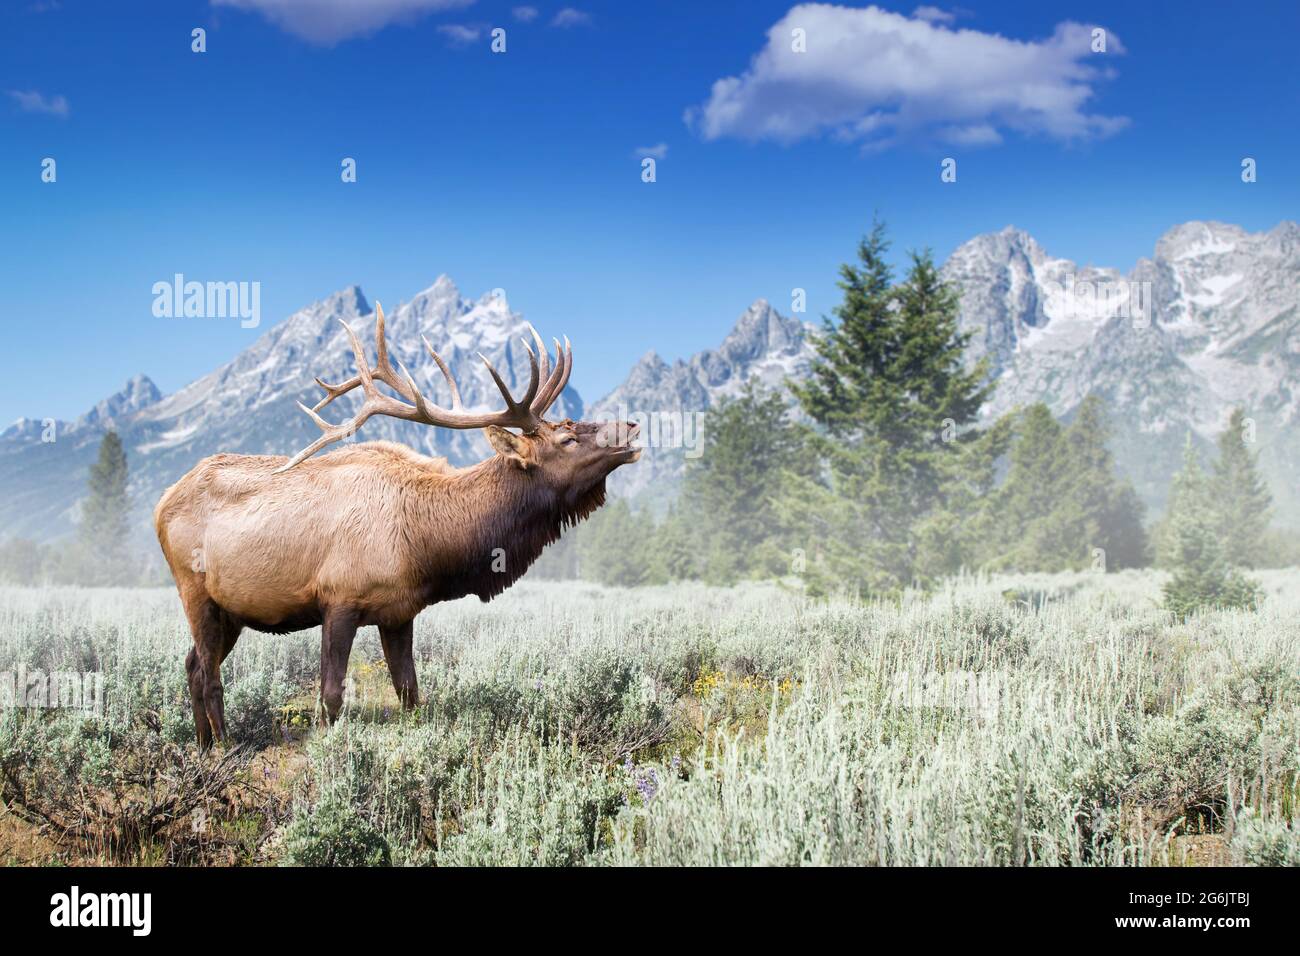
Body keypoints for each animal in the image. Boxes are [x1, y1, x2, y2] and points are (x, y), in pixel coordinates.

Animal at [154, 304, 641, 747]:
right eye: (567, 437)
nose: (632, 427)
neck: (426, 543)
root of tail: (160, 506)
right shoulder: (338, 599)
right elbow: (330, 696)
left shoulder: (399, 611)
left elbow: (410, 693)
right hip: (195, 591)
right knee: (209, 674)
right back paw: (223, 746)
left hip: (231, 610)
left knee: (192, 665)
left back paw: (201, 745)